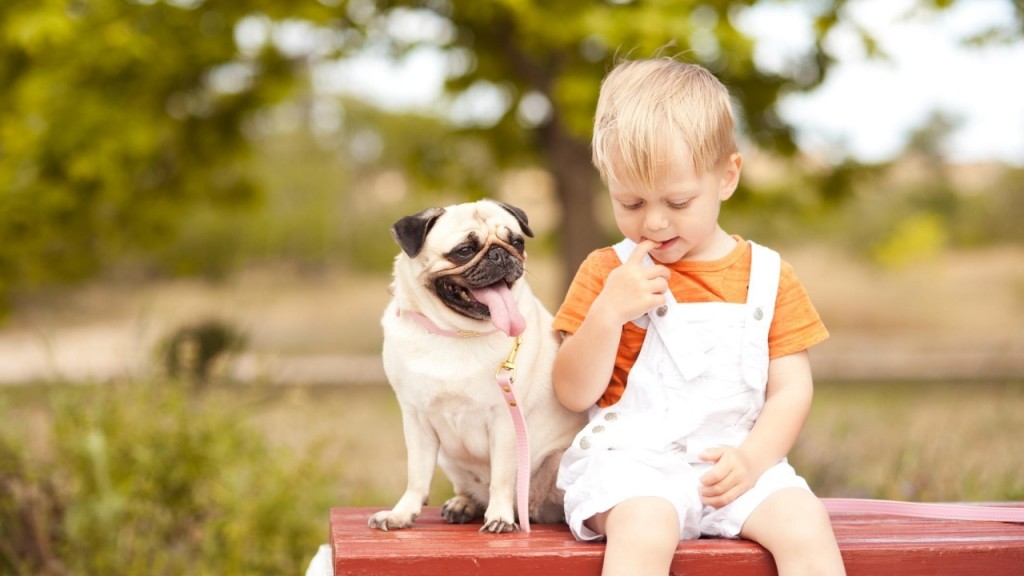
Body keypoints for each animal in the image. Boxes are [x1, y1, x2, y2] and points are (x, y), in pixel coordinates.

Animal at [370, 199, 585, 532]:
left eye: (516, 242)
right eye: (464, 250)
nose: (500, 254)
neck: (456, 333)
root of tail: (532, 510)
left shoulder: (505, 419)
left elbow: (502, 476)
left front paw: (499, 517)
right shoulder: (416, 418)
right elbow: (417, 476)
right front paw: (401, 514)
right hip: (449, 459)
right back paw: (464, 504)